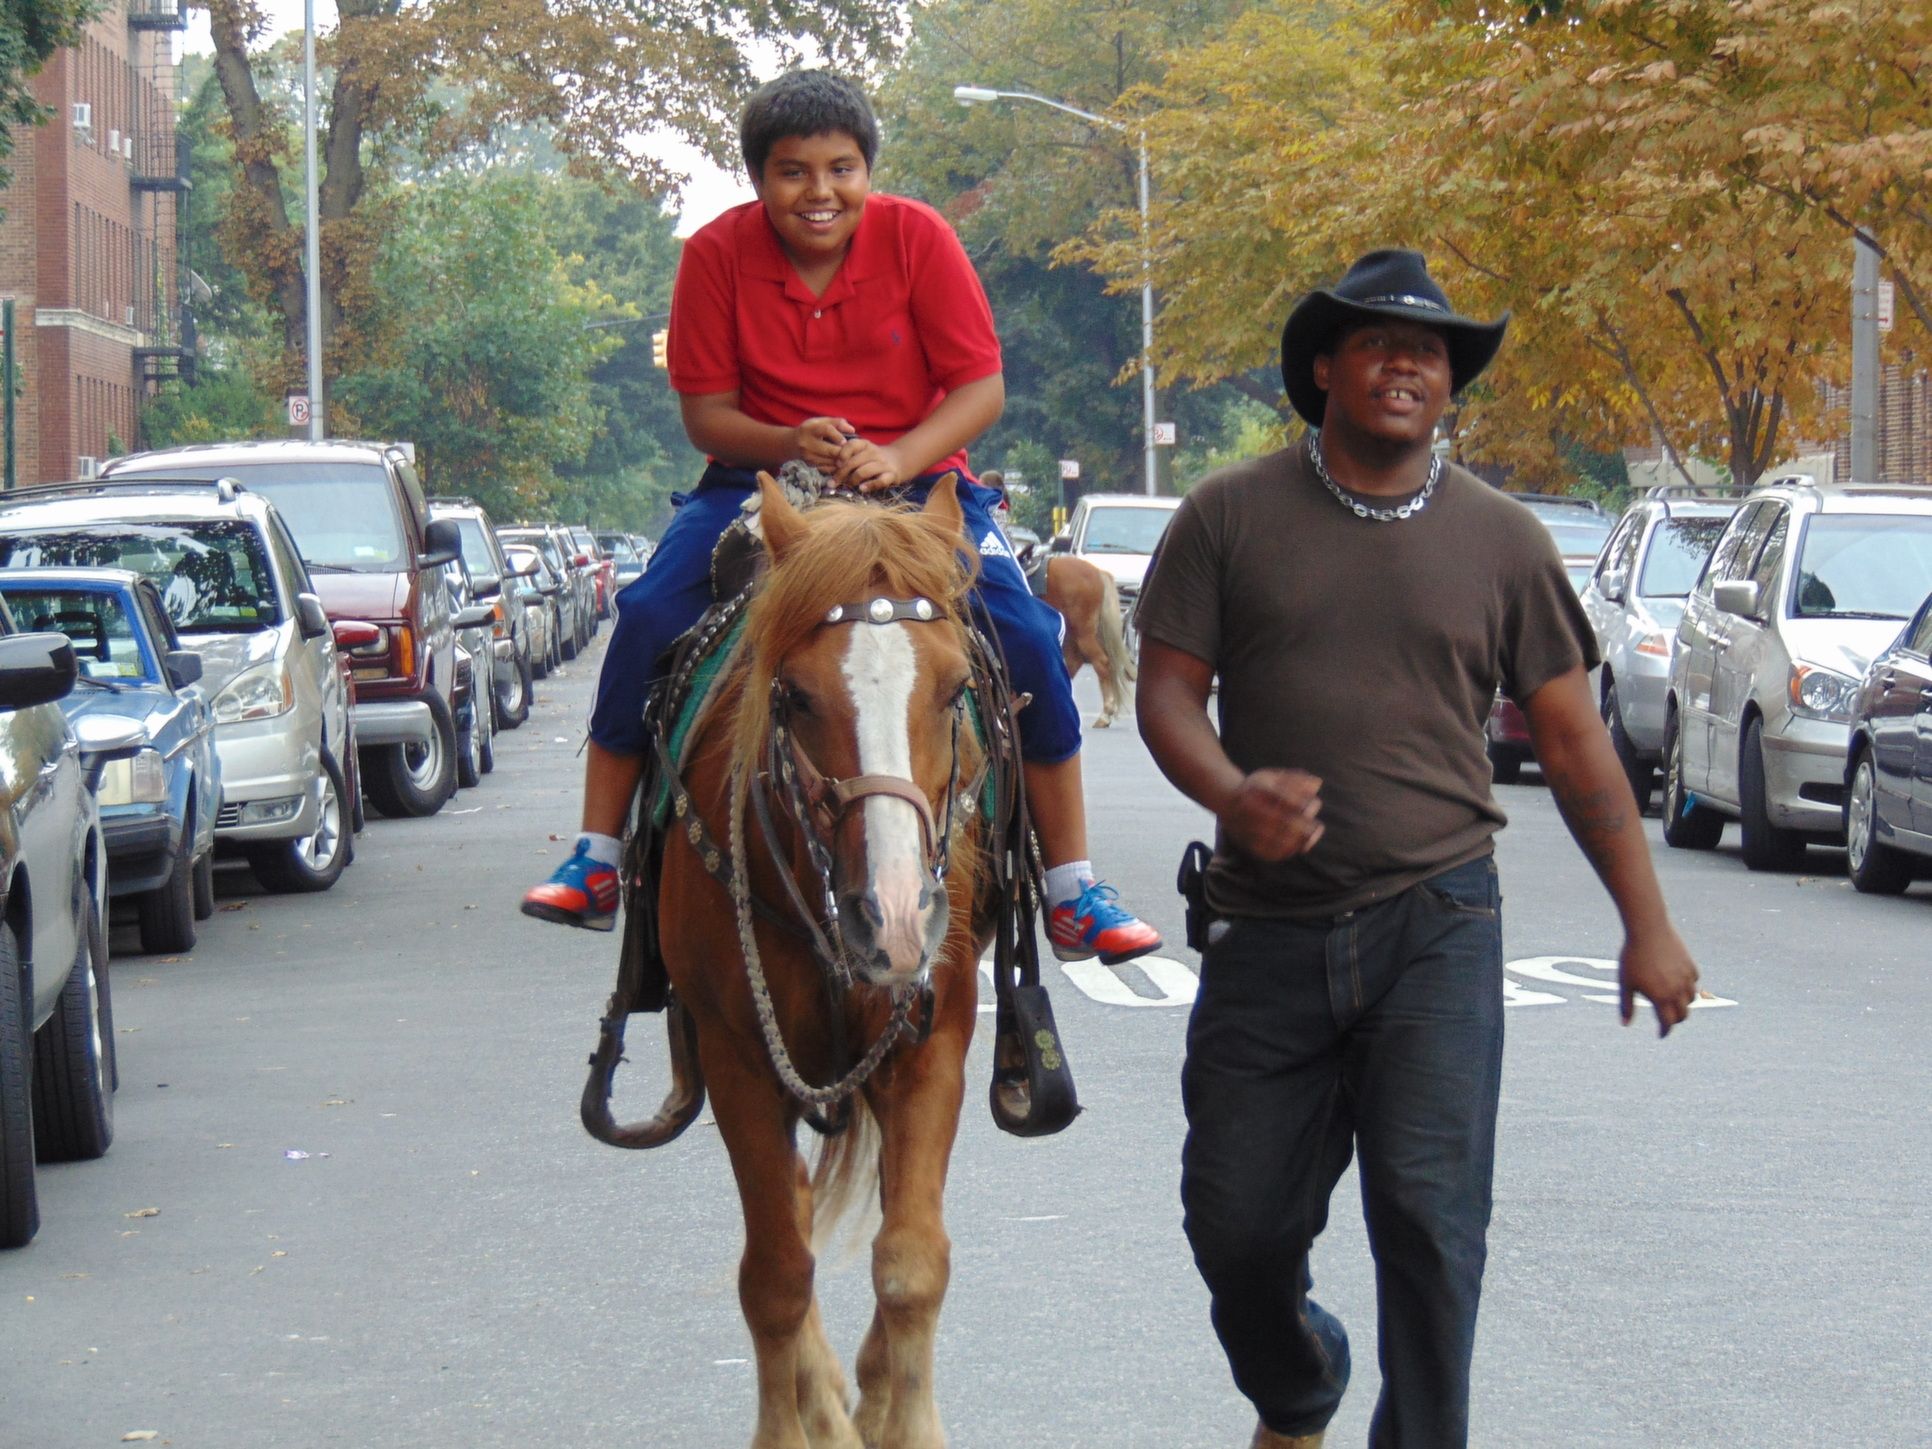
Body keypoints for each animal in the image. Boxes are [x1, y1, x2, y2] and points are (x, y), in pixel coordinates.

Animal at [664, 477, 996, 1449]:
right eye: (796, 696)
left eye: (956, 688)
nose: (892, 916)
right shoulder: (736, 1056)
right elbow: (776, 1275)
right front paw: (799, 1422)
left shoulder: (931, 1043)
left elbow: (912, 1261)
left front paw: (901, 1415)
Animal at [1035, 560, 1136, 730]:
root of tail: (1099, 573)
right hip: (1073, 634)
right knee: (1073, 663)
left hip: (1083, 633)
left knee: (1100, 662)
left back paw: (1105, 714)